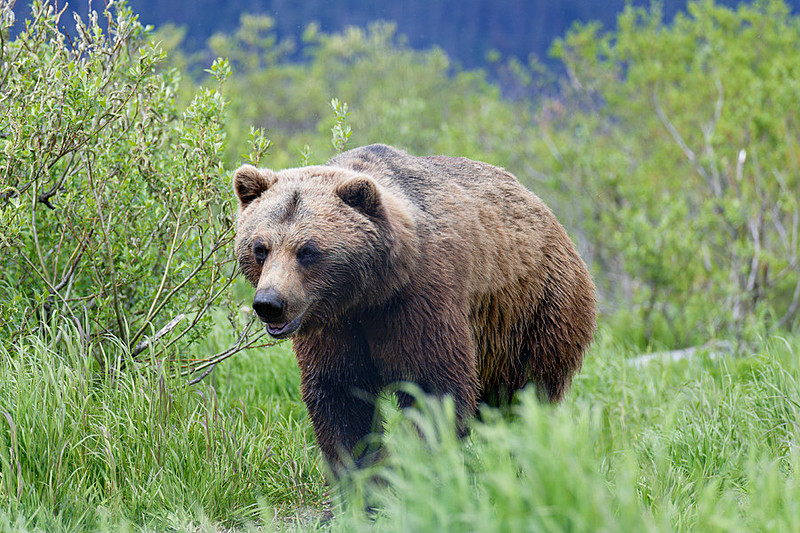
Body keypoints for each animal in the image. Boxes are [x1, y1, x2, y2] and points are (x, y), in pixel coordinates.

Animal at [233, 144, 596, 471]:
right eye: (260, 248)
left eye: (307, 250)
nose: (270, 304)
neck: (369, 294)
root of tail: (547, 213)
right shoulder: (334, 327)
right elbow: (340, 398)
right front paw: (360, 480)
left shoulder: (419, 302)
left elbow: (433, 390)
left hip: (534, 313)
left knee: (526, 398)